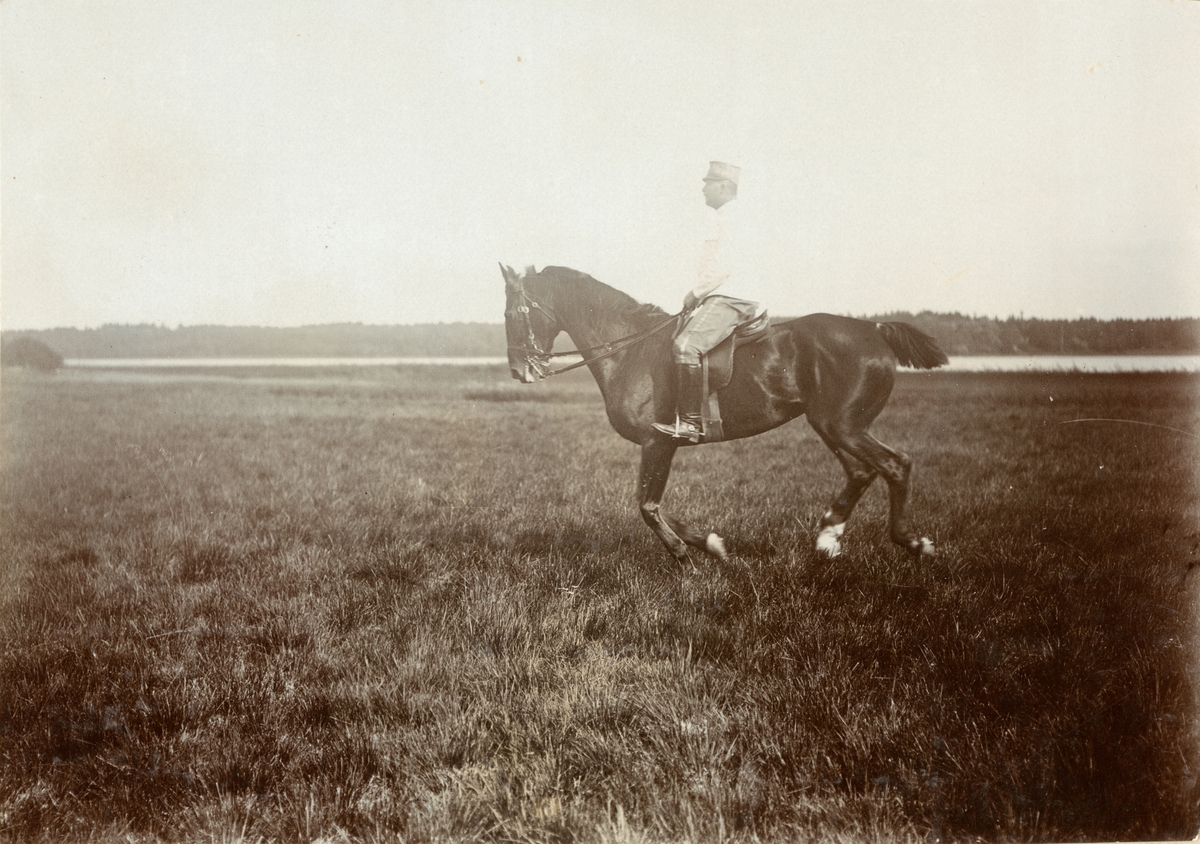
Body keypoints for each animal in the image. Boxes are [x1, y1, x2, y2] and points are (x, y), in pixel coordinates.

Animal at [501, 264, 948, 563]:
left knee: (895, 465)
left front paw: (686, 555)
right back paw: (828, 536)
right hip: (831, 425)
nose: (518, 371)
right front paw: (710, 545)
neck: (631, 350)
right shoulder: (660, 446)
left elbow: (647, 507)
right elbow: (654, 506)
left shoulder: (658, 441)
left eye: (509, 314)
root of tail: (874, 329)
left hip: (842, 425)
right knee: (862, 471)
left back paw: (913, 542)